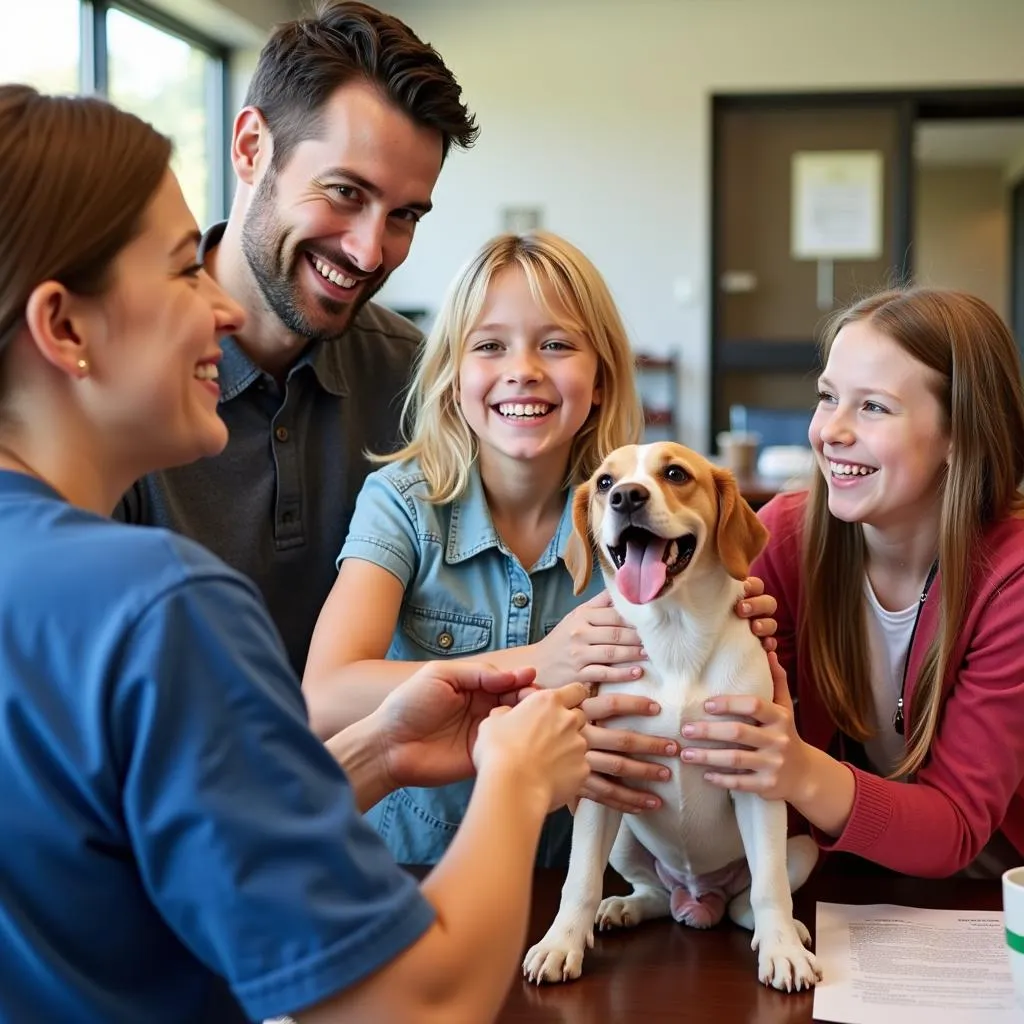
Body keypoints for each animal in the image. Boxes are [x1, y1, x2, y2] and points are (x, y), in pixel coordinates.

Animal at [524, 440, 819, 991]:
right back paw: (626, 906)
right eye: (604, 482)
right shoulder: (601, 780)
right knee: (651, 892)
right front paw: (560, 943)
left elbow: (770, 885)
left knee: (749, 899)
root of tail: (697, 896)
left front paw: (783, 951)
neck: (676, 636)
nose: (626, 497)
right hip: (625, 835)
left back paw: (775, 926)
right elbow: (578, 881)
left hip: (802, 846)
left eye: (676, 474)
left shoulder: (757, 778)